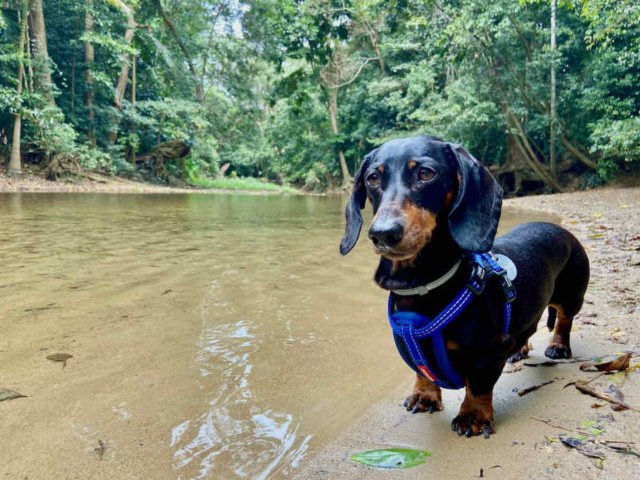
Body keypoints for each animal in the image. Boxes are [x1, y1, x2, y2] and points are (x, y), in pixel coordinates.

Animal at [340, 135, 592, 438]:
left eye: (426, 173)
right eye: (373, 178)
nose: (383, 234)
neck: (421, 286)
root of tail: (562, 229)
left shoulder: (488, 353)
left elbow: (479, 385)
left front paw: (473, 416)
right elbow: (422, 371)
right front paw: (425, 397)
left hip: (571, 295)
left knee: (565, 320)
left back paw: (558, 347)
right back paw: (519, 350)